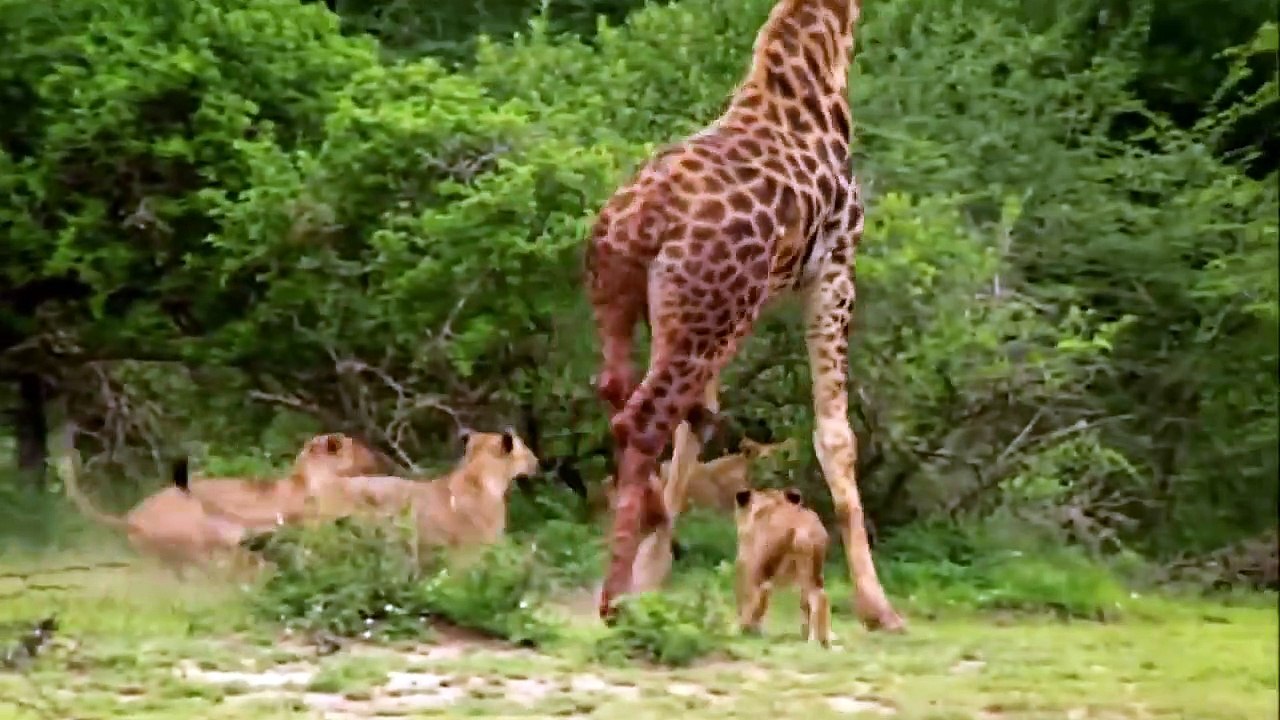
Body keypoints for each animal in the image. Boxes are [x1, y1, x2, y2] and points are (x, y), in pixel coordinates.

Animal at [733, 487, 832, 647]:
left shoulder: (749, 565)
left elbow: (752, 599)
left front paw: (748, 630)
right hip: (812, 571)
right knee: (820, 597)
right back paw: (820, 640)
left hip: (762, 567)